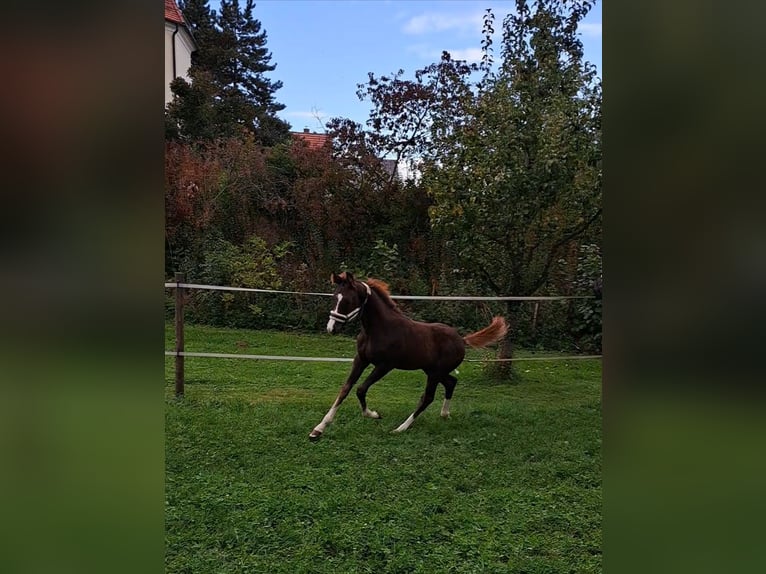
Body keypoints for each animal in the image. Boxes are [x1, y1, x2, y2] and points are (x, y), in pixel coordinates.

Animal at [308, 274, 508, 440]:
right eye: (335, 297)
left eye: (349, 300)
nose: (331, 328)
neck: (378, 329)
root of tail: (462, 340)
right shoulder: (361, 360)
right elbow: (345, 389)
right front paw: (318, 429)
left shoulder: (384, 365)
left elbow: (360, 389)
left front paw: (374, 414)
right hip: (432, 371)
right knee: (451, 382)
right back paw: (444, 415)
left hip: (434, 373)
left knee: (428, 397)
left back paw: (400, 428)